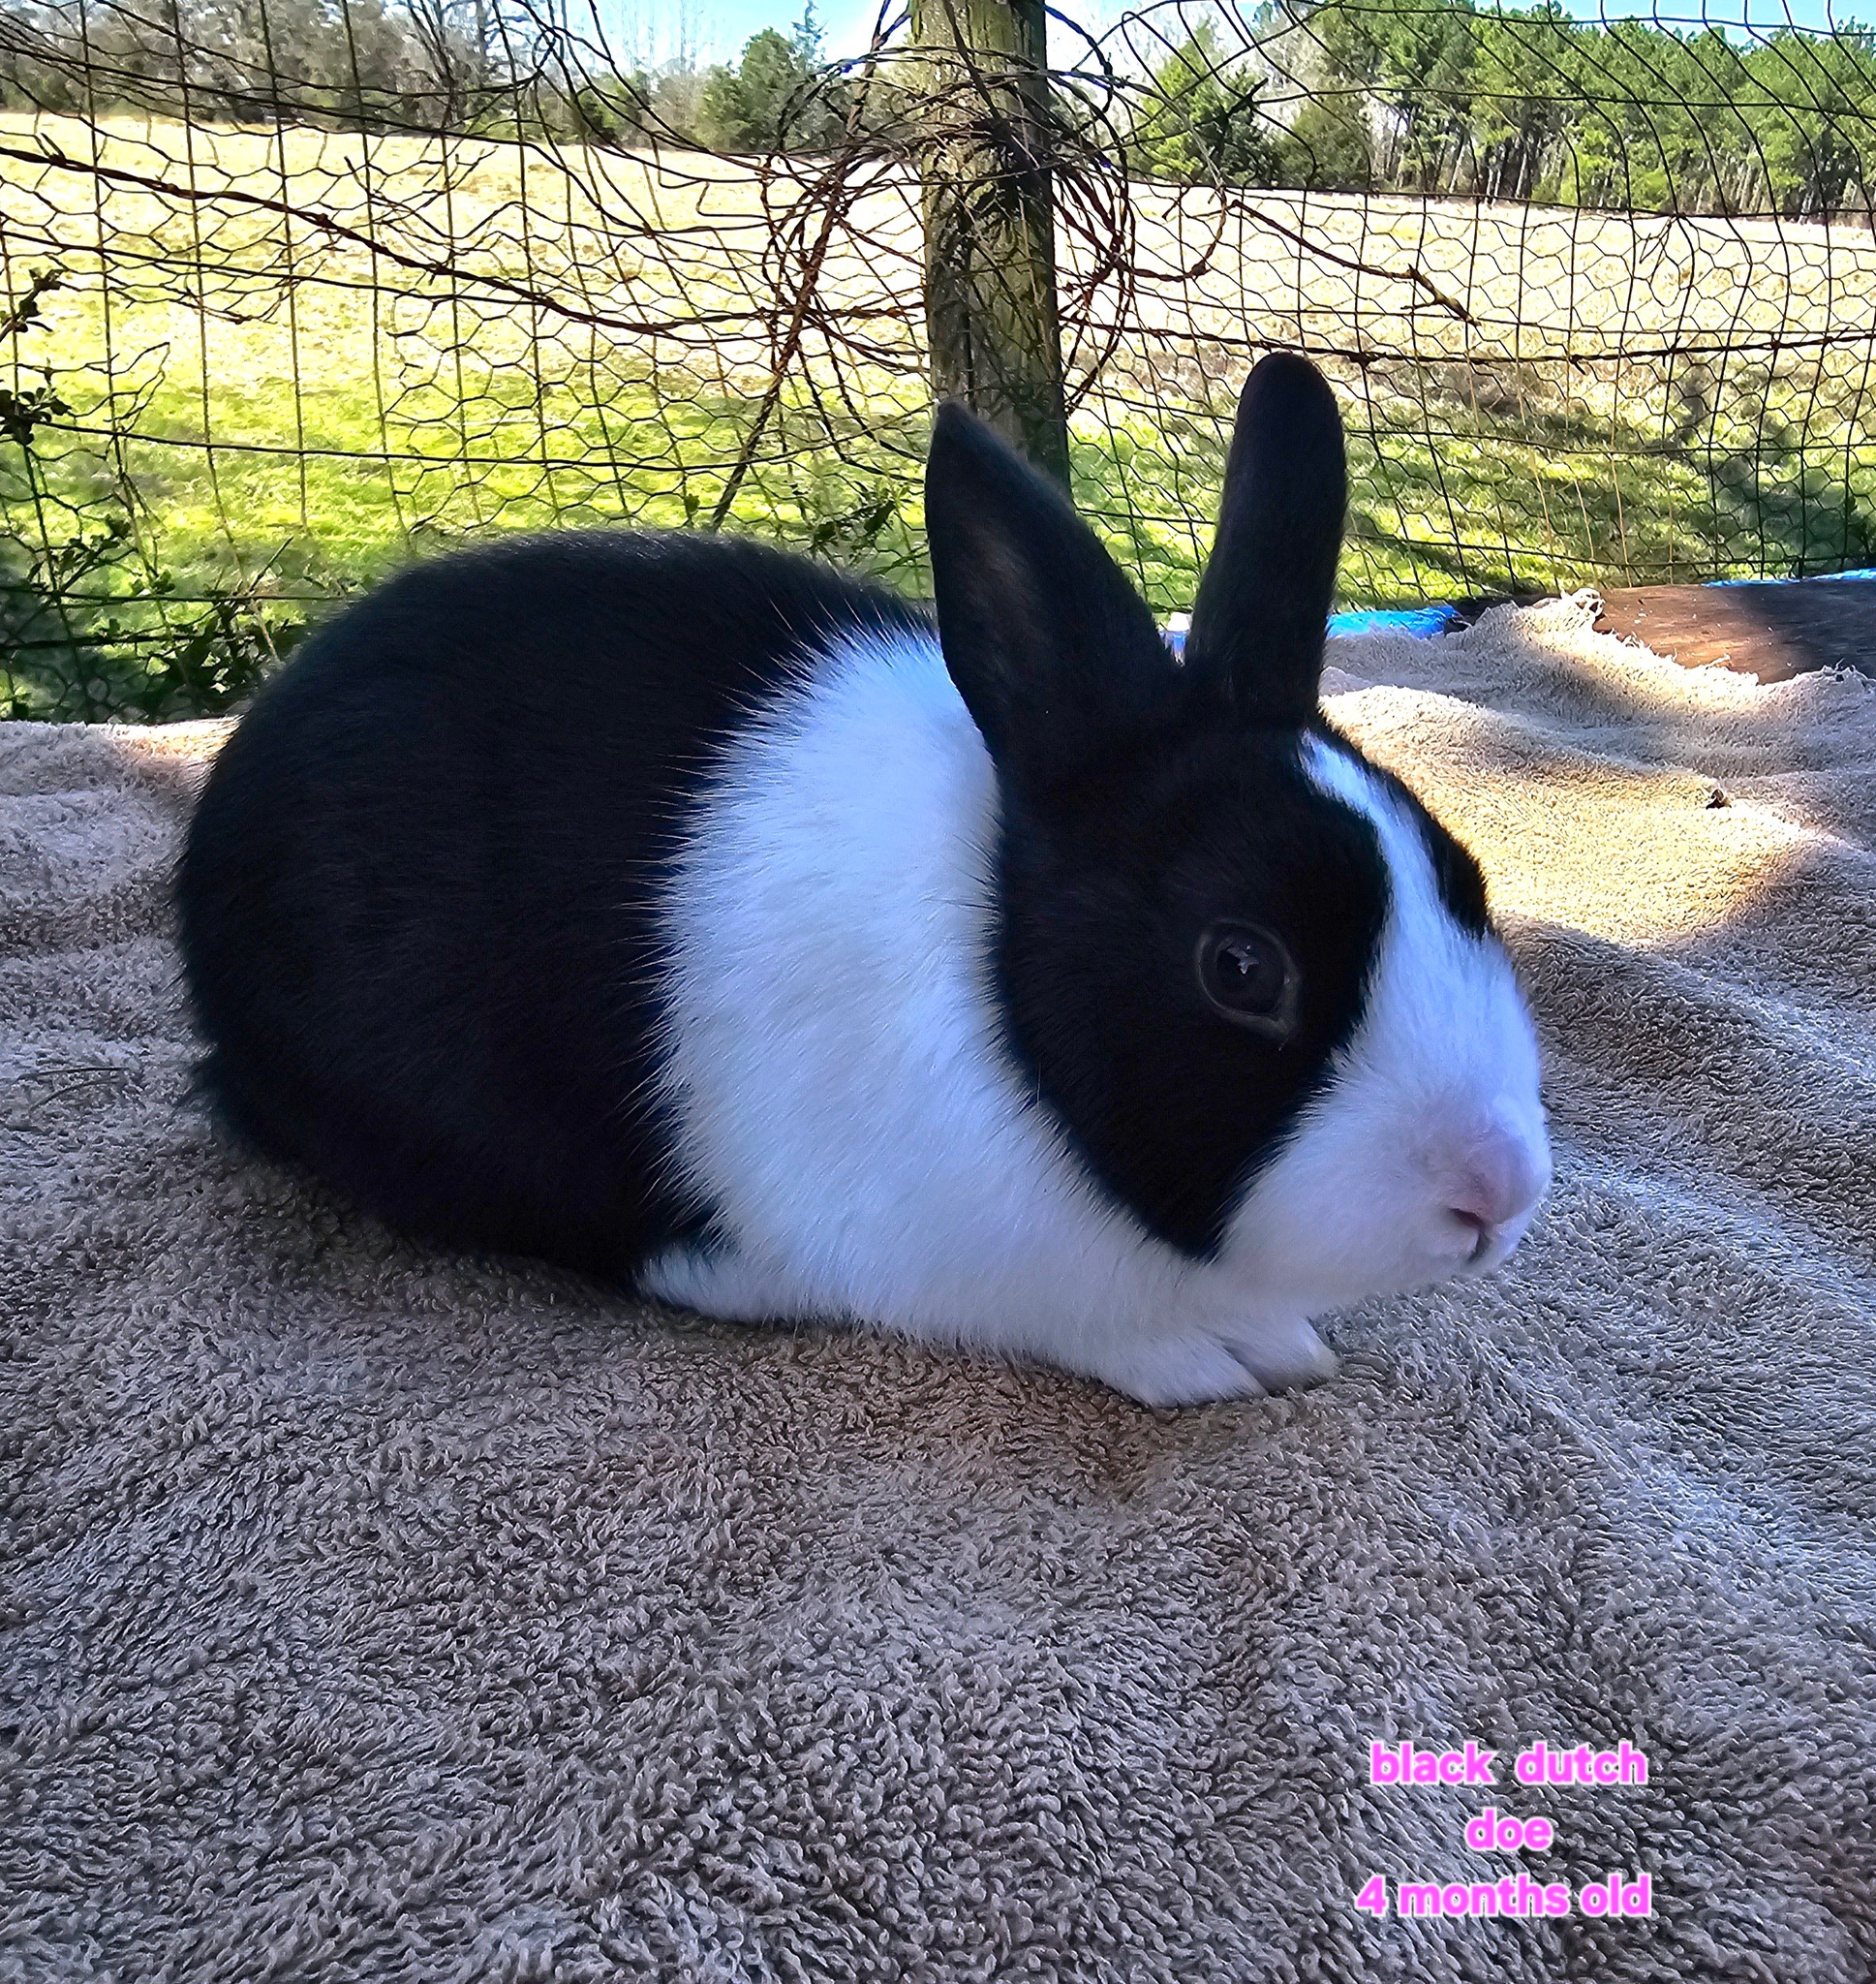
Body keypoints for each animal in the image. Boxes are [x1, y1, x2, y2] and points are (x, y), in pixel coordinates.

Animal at [176, 352, 1550, 1407]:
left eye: (1462, 873)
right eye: (1240, 965)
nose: (1493, 1194)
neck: (994, 972)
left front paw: (1283, 1343)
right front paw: (1215, 1360)